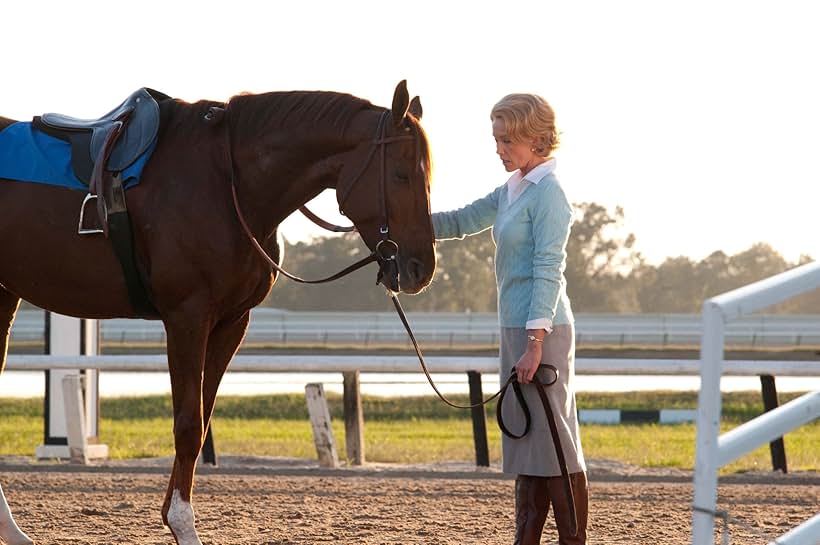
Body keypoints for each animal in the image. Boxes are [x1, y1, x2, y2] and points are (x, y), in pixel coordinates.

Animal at [0, 81, 436, 544]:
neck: (228, 185)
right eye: (402, 174)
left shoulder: (231, 323)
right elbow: (188, 425)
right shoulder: (187, 319)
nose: (421, 269)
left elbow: (202, 420)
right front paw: (182, 524)